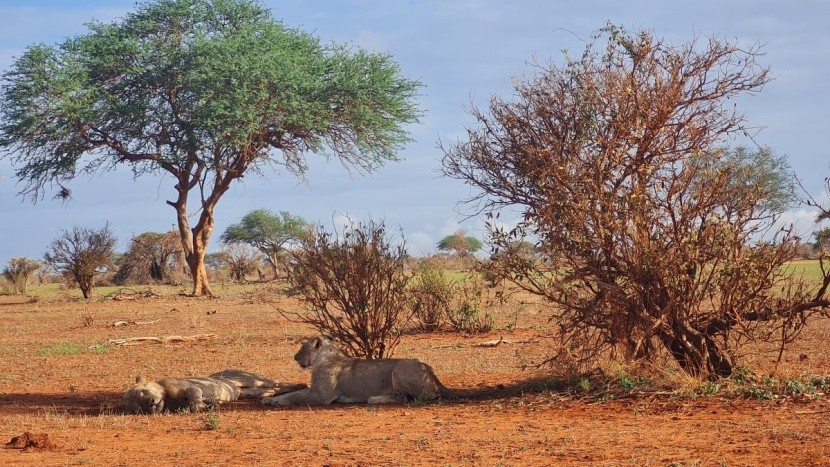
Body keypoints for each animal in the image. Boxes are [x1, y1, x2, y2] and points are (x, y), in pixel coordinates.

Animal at [264, 336, 474, 406]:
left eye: (302, 347)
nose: (295, 357)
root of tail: (430, 370)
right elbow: (295, 391)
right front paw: (269, 398)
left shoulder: (321, 396)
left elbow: (295, 395)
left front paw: (275, 401)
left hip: (400, 368)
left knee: (410, 398)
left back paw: (374, 399)